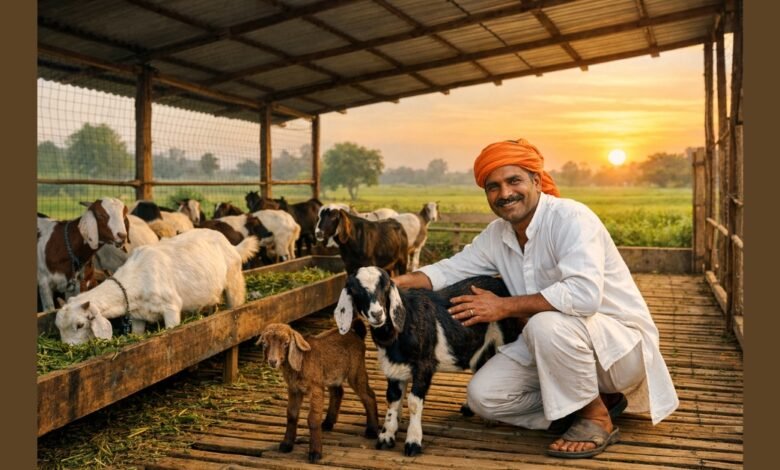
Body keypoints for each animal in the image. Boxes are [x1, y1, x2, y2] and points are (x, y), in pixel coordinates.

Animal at [55, 229, 260, 345]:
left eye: (80, 325)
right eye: (58, 327)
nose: (68, 347)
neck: (137, 278)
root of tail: (232, 246)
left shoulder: (171, 308)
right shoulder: (137, 316)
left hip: (234, 283)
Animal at [257, 321, 379, 463]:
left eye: (286, 343)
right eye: (265, 343)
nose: (272, 361)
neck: (301, 361)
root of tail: (357, 334)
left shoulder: (315, 389)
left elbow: (313, 419)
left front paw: (315, 453)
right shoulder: (294, 390)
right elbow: (291, 415)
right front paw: (286, 445)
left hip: (356, 370)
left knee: (368, 396)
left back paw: (372, 431)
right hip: (332, 374)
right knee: (338, 392)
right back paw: (327, 423)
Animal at [334, 266, 523, 456]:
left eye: (385, 287)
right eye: (356, 291)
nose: (377, 314)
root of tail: (499, 281)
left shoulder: (424, 366)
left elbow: (414, 403)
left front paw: (413, 442)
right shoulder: (394, 368)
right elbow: (393, 399)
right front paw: (386, 437)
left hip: (505, 336)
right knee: (479, 364)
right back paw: (469, 408)